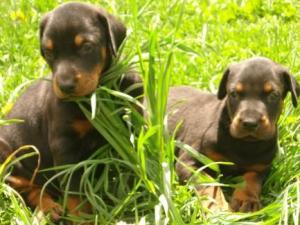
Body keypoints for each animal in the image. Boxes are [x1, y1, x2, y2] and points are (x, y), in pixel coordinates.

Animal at [0, 1, 142, 222]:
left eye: (86, 46)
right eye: (49, 52)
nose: (65, 86)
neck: (98, 93)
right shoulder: (65, 146)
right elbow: (75, 192)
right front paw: (83, 220)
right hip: (9, 156)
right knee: (26, 188)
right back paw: (49, 208)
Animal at [168, 57, 298, 212]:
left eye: (274, 95)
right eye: (234, 94)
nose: (250, 123)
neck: (244, 143)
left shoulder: (261, 167)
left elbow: (251, 180)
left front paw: (246, 200)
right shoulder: (189, 161)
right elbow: (208, 183)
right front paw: (216, 205)